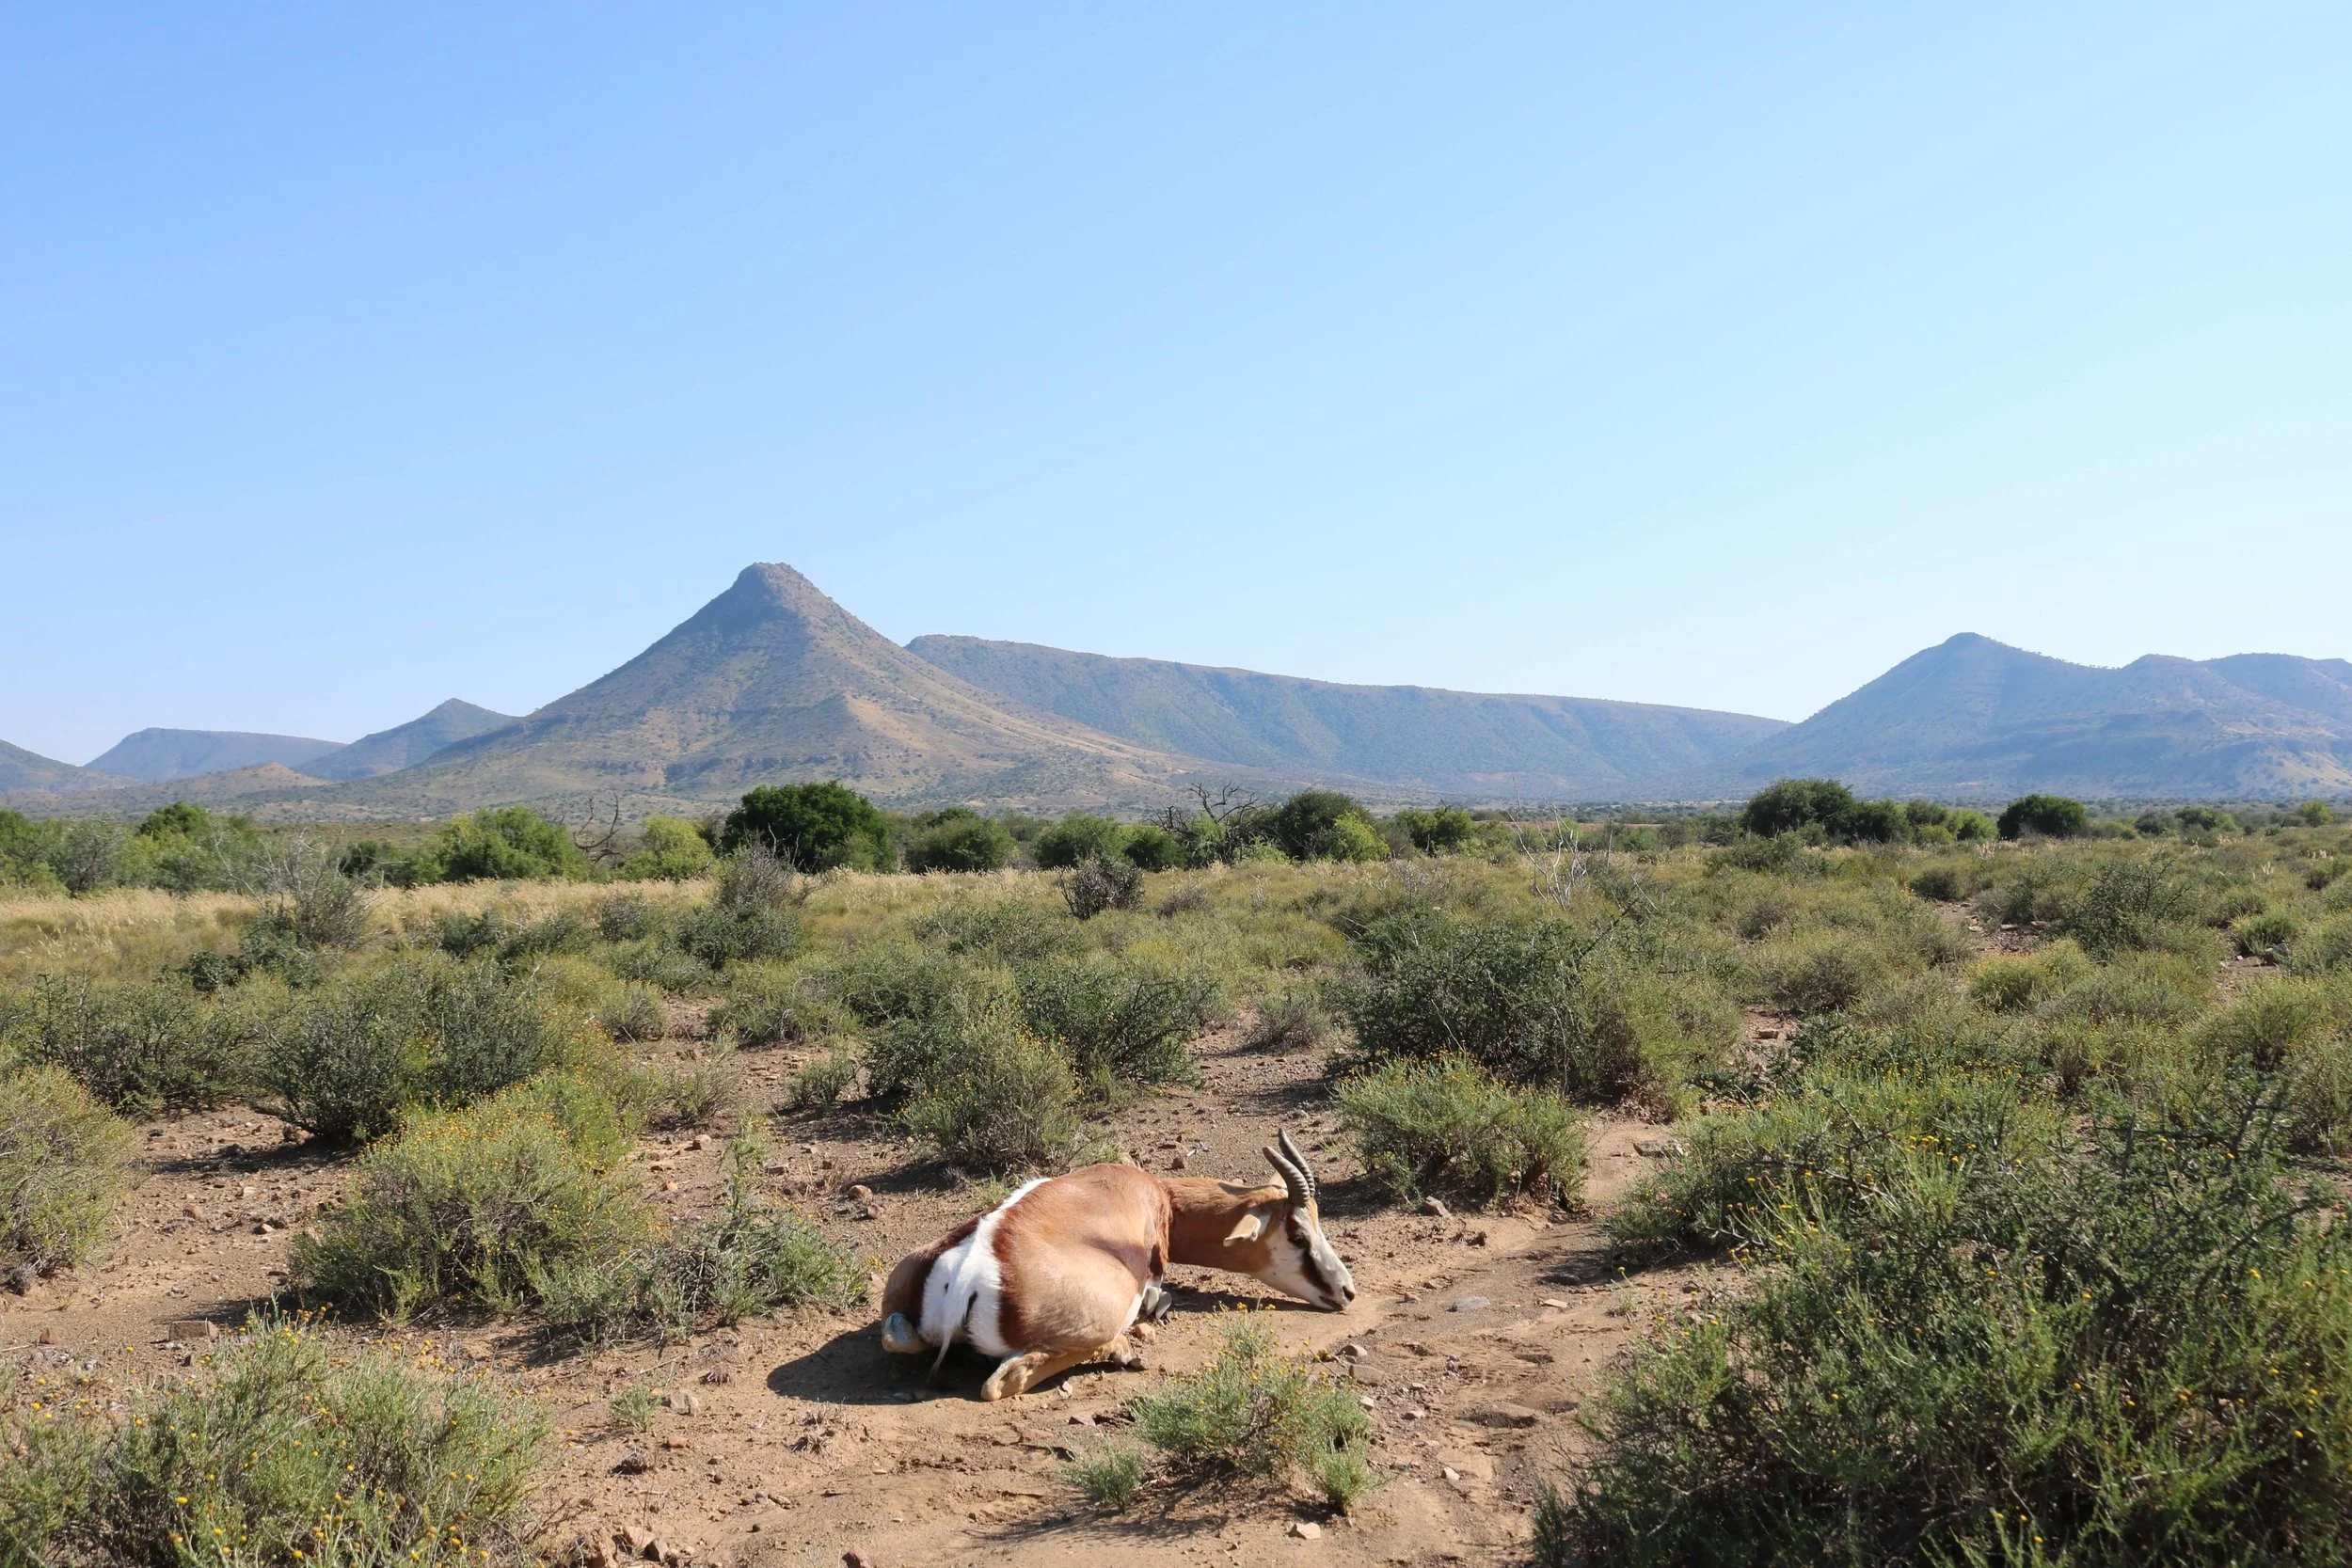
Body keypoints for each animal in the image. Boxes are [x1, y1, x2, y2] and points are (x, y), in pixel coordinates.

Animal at [879, 1129, 1355, 1400]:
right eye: (1298, 1235)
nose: (1347, 1292)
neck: (1157, 1195)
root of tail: (966, 1279)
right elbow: (1160, 1297)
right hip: (1104, 1311)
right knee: (1000, 1383)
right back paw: (1124, 1351)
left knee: (897, 1340)